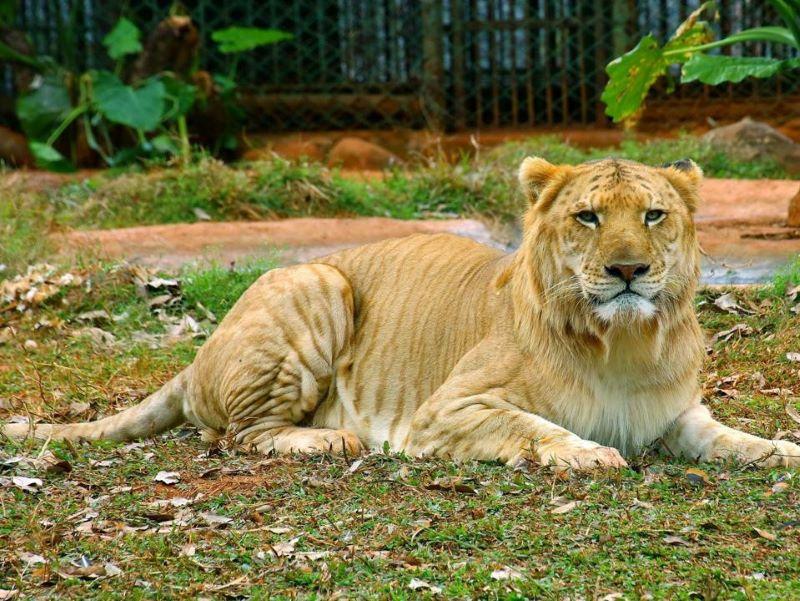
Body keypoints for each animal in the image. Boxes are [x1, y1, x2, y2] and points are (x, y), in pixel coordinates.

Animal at [4, 156, 799, 470]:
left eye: (654, 215)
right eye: (589, 217)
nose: (628, 270)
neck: (625, 342)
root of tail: (198, 355)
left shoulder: (678, 417)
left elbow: (738, 440)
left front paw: (783, 451)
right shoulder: (444, 413)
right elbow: (536, 426)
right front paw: (588, 452)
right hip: (318, 282)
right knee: (237, 435)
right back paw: (332, 440)